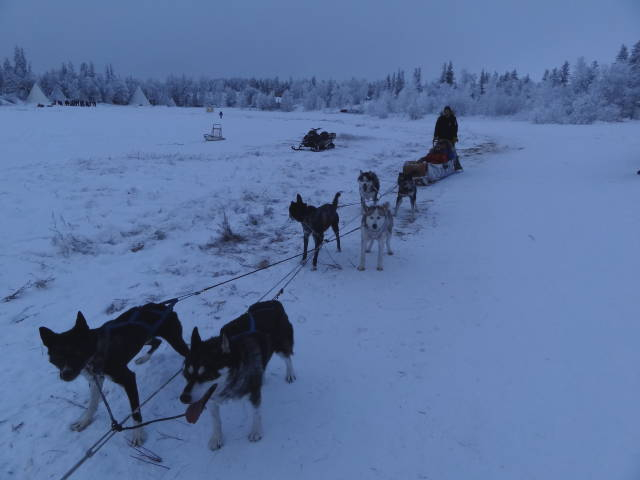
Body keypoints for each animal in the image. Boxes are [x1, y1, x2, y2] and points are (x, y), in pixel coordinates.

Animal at [38, 304, 189, 446]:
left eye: (77, 352)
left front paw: (137, 434)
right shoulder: (95, 379)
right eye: (57, 358)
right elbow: (92, 404)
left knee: (186, 351)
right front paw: (84, 421)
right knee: (157, 341)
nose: (65, 375)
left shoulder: (128, 379)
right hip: (146, 338)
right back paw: (143, 359)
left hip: (175, 341)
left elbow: (135, 412)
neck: (95, 352)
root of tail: (163, 306)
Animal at [180, 300, 296, 450]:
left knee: (288, 358)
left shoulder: (253, 393)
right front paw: (217, 437)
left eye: (206, 375)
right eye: (186, 374)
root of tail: (274, 302)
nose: (183, 398)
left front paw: (256, 431)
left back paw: (290, 374)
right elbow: (216, 420)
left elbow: (256, 413)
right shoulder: (211, 399)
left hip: (281, 345)